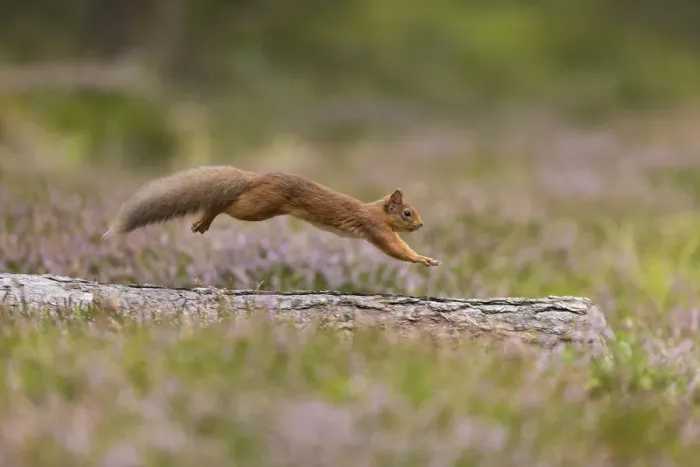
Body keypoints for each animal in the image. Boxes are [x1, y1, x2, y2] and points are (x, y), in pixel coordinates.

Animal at [103, 165, 440, 267]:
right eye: (407, 212)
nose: (423, 224)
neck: (375, 209)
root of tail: (256, 177)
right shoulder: (377, 229)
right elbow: (397, 250)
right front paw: (423, 259)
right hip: (257, 208)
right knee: (224, 204)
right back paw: (206, 218)